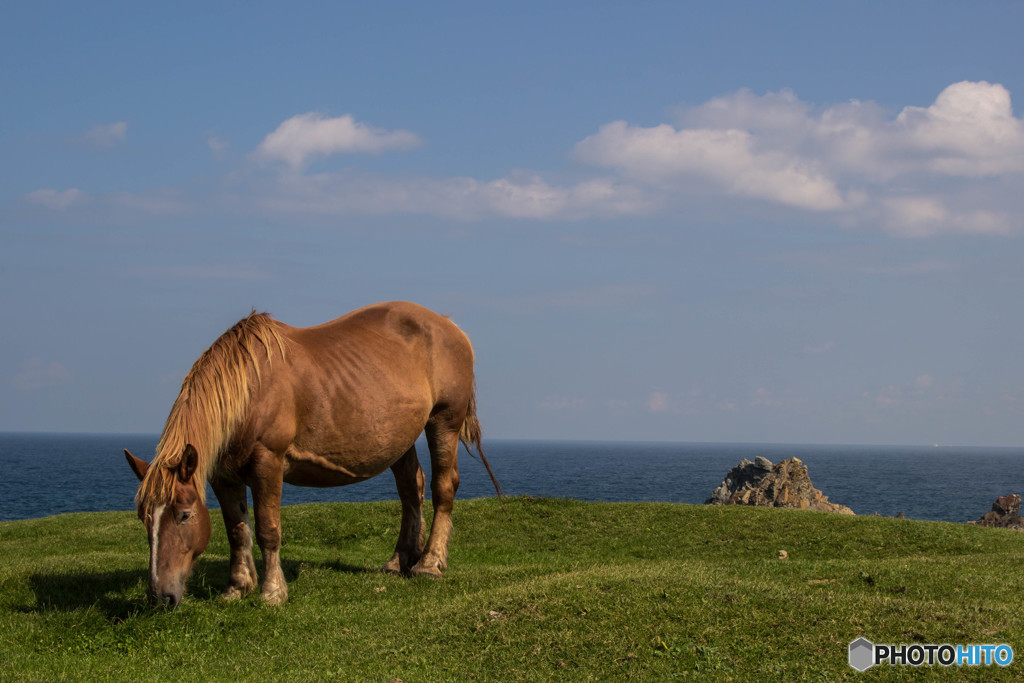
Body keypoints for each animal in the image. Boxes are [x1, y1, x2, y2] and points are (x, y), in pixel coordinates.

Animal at [123, 301, 499, 606]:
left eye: (184, 515)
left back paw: (430, 563)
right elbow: (237, 530)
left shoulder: (268, 462)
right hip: (400, 435)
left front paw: (272, 592)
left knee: (442, 487)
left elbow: (267, 529)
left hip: (444, 421)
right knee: (411, 489)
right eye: (144, 517)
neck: (249, 389)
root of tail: (450, 327)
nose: (161, 596)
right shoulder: (222, 475)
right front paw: (237, 587)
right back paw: (400, 561)